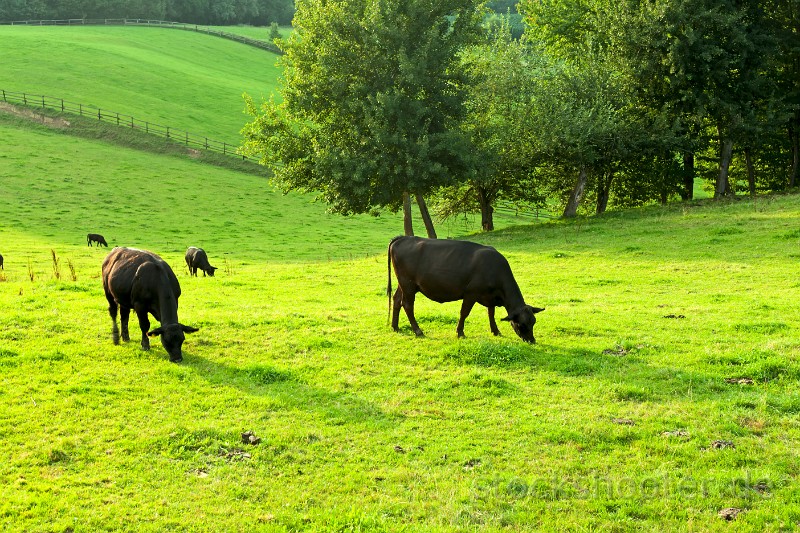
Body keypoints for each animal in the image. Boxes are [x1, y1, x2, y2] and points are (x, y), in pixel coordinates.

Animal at [388, 236, 544, 340]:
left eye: (533, 322)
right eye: (521, 325)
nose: (532, 341)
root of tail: (404, 237)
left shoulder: (491, 297)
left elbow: (491, 313)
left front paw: (496, 331)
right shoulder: (471, 293)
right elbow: (464, 313)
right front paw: (460, 332)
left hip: (403, 284)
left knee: (396, 300)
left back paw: (395, 327)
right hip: (408, 284)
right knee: (407, 305)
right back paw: (418, 331)